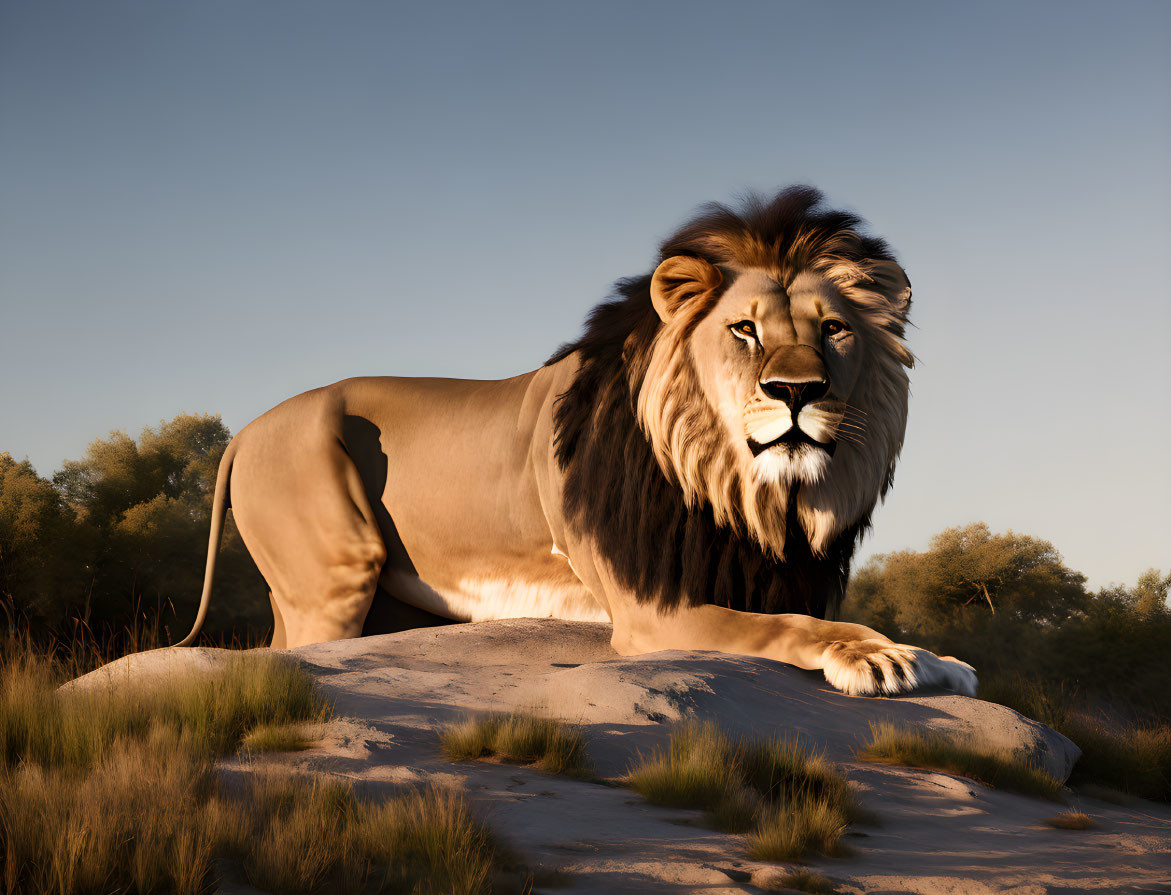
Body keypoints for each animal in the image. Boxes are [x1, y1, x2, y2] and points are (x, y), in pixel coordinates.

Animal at [175, 185, 978, 693]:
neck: (744, 493)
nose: (796, 391)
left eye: (833, 329)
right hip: (334, 571)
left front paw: (931, 654)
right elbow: (790, 627)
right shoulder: (653, 609)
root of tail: (246, 429)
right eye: (744, 329)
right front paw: (885, 660)